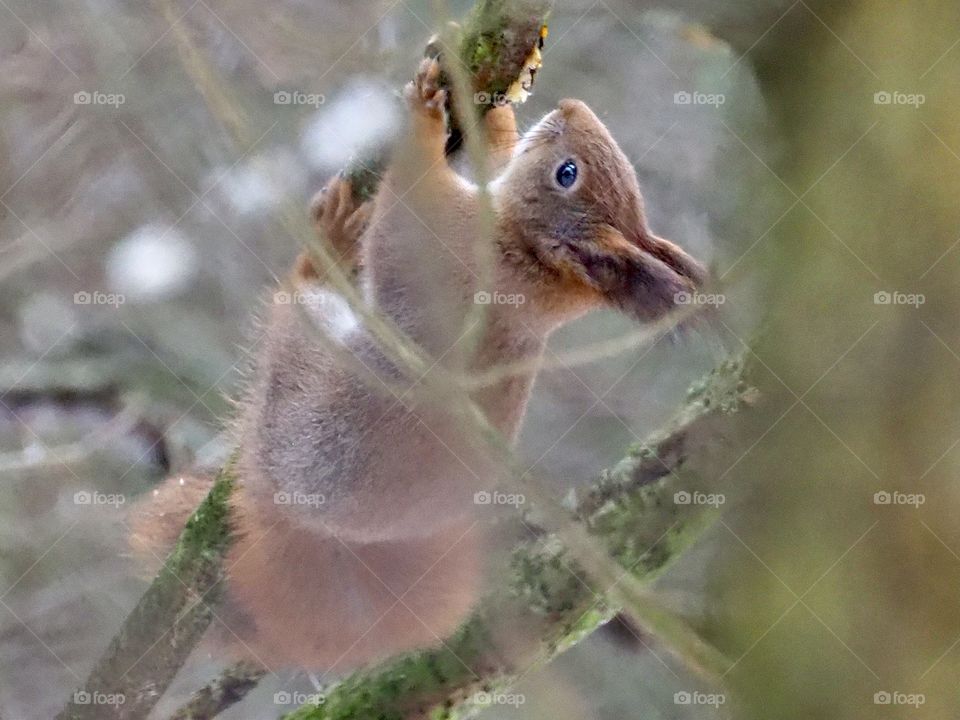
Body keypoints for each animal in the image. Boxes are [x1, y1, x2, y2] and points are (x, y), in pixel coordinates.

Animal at [129, 57, 706, 673]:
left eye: (567, 173)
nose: (570, 108)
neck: (524, 258)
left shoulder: (443, 242)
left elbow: (409, 198)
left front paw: (425, 121)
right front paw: (494, 117)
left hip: (306, 367)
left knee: (294, 315)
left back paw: (327, 248)